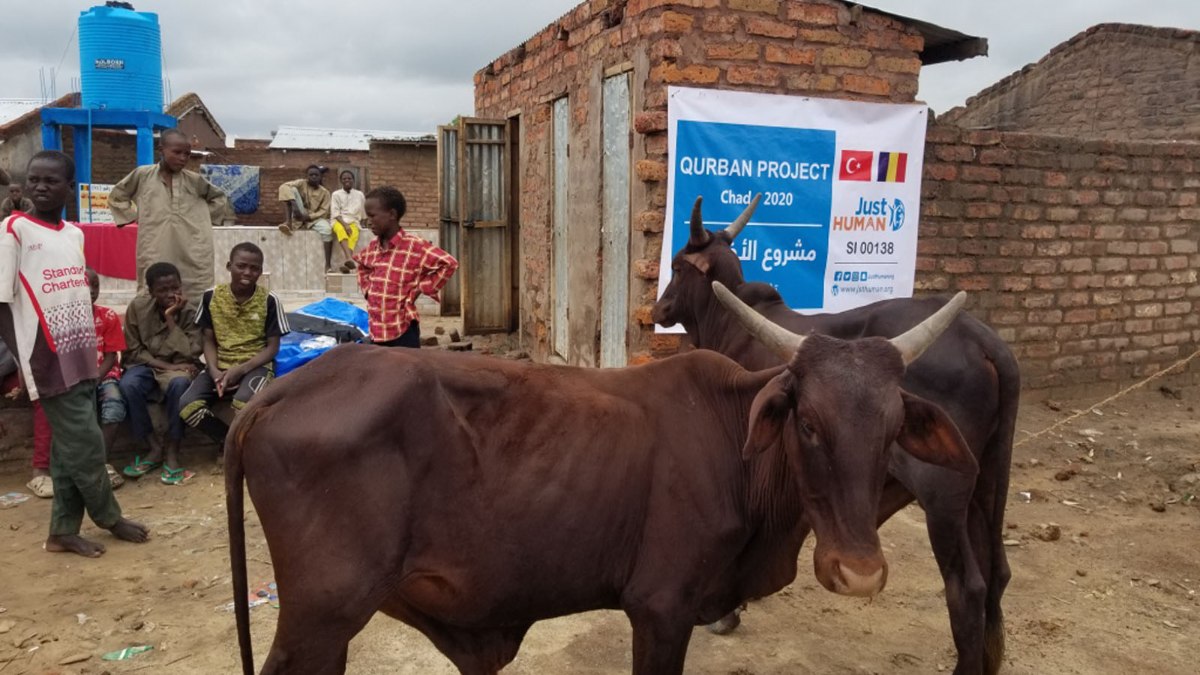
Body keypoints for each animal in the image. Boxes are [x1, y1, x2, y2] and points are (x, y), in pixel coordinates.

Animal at [226, 295, 974, 672]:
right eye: (809, 422)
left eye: (893, 427)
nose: (859, 572)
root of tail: (288, 388)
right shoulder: (662, 607)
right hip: (322, 614)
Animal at [652, 196, 1017, 672]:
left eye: (678, 266)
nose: (658, 311)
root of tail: (985, 341)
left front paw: (727, 614)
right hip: (987, 481)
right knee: (999, 573)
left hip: (943, 492)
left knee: (967, 588)